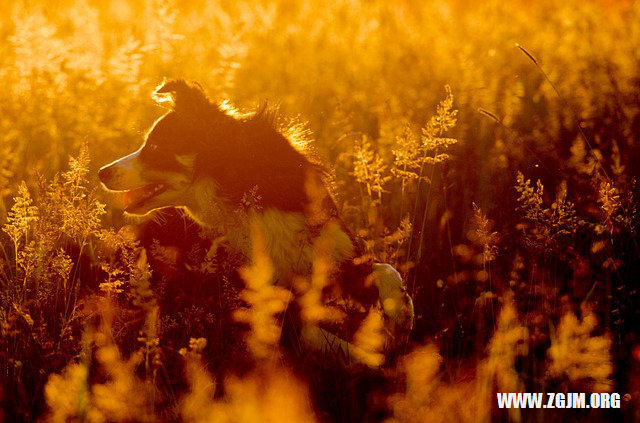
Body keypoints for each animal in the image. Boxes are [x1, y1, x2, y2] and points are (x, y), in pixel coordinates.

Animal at [97, 80, 412, 368]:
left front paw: (402, 312)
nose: (102, 172)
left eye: (155, 146)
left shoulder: (328, 243)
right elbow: (327, 340)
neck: (239, 189)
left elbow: (384, 269)